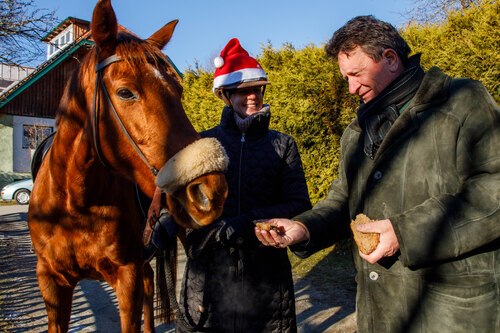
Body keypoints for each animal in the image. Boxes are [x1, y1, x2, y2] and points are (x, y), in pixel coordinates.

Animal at [28, 1, 228, 330]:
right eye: (125, 92)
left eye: (179, 92)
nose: (210, 190)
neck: (76, 203)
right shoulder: (51, 281)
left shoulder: (126, 276)